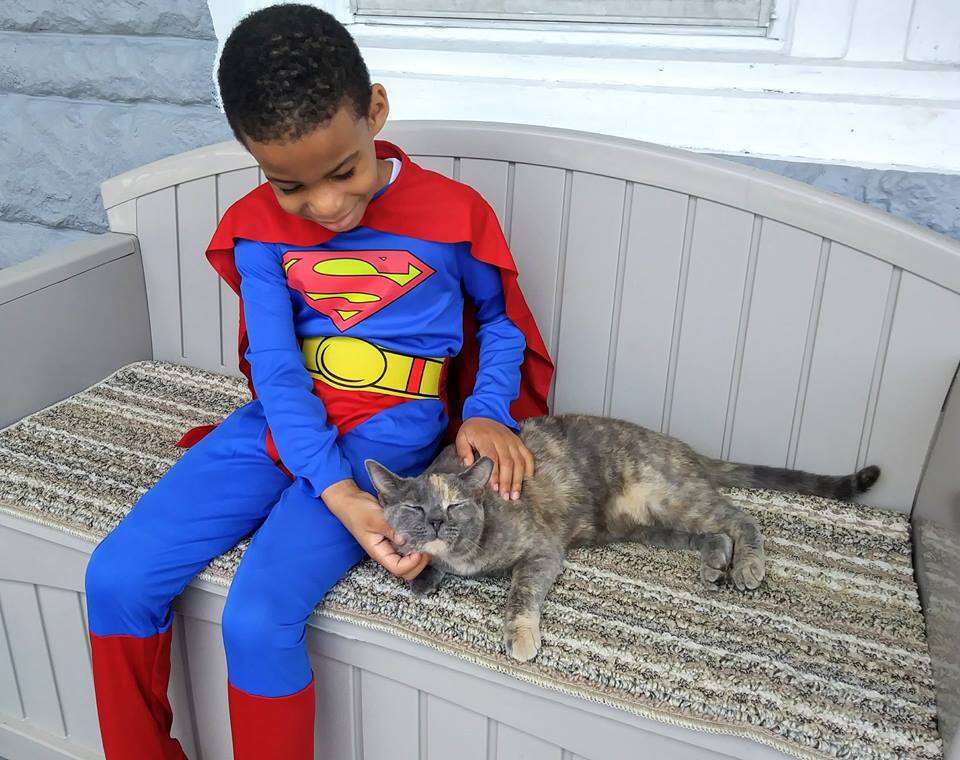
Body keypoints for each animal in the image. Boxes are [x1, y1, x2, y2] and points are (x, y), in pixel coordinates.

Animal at [364, 412, 880, 664]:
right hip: (652, 525)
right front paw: (421, 576)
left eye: (455, 506)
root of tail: (683, 448)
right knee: (713, 534)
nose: (435, 522)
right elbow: (426, 565)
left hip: (673, 498)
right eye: (415, 508)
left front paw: (521, 636)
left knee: (740, 518)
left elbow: (520, 594)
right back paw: (715, 564)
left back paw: (749, 566)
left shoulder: (541, 552)